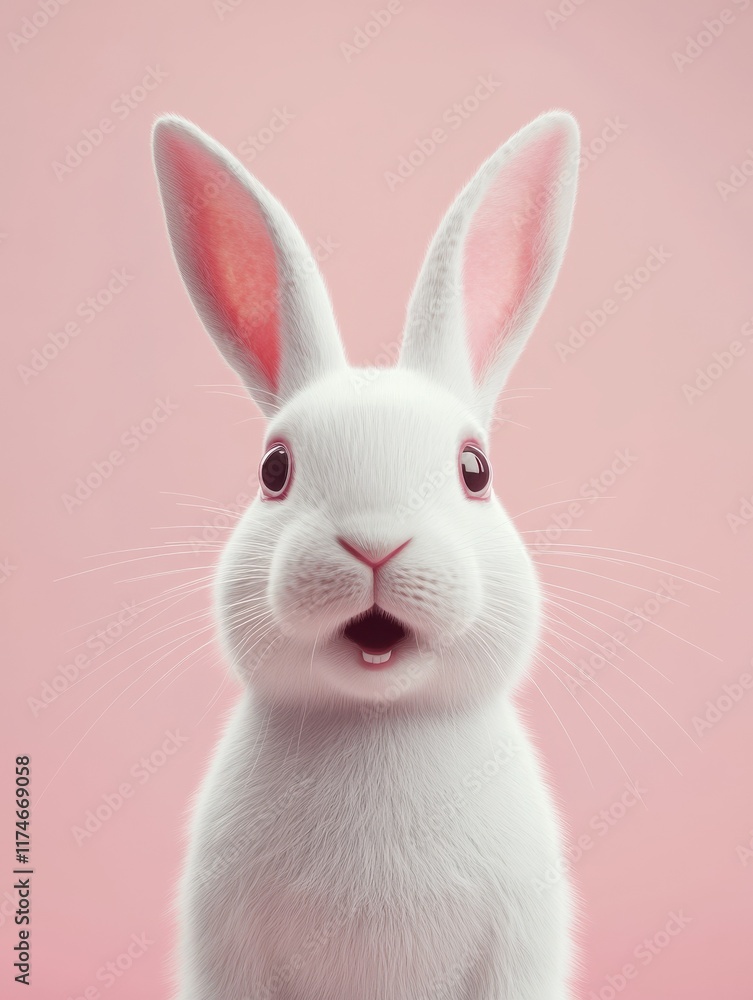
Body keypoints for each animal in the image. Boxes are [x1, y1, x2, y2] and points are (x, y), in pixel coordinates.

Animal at [152, 108, 581, 1000]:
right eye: (274, 471)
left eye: (474, 470)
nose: (374, 543)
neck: (376, 723)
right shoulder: (225, 940)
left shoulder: (517, 941)